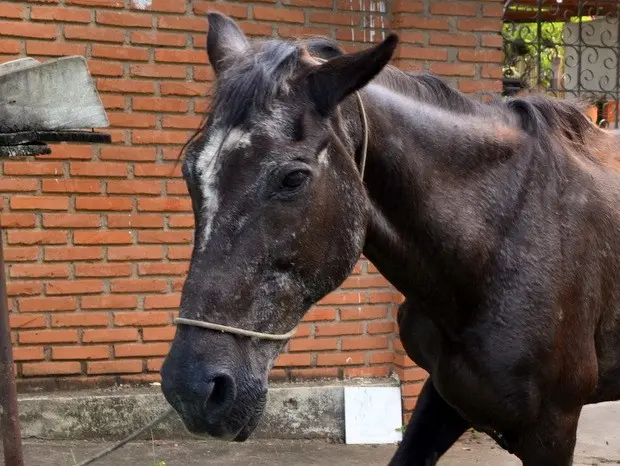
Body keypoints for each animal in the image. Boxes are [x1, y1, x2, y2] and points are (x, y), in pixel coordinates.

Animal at [160, 12, 620, 464]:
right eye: (190, 172)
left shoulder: (552, 428)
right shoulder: (444, 395)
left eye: (292, 178)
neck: (505, 238)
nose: (192, 389)